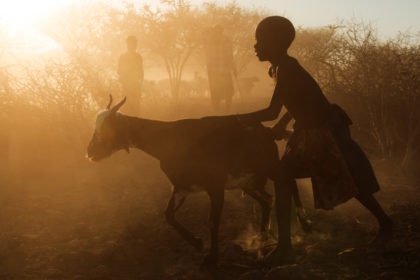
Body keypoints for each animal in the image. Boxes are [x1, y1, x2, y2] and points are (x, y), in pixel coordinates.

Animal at [86, 97, 308, 266]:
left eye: (106, 128)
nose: (90, 152)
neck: (170, 140)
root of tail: (269, 131)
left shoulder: (216, 186)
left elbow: (212, 221)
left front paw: (212, 258)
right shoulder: (181, 187)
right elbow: (168, 215)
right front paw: (198, 243)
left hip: (270, 167)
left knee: (289, 183)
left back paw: (304, 223)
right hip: (247, 181)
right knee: (267, 199)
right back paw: (261, 237)